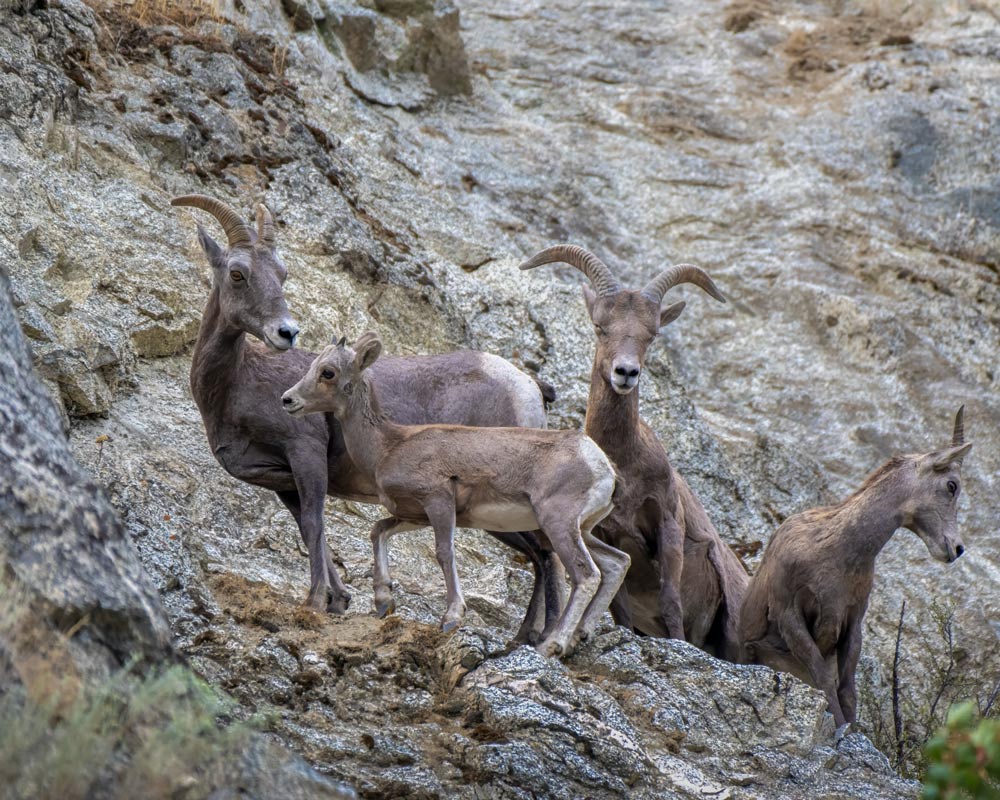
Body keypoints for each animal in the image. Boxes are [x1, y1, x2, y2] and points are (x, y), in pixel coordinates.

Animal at [172, 194, 564, 640]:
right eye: (238, 273)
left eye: (282, 274)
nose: (286, 332)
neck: (237, 383)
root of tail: (528, 386)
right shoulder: (283, 482)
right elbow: (309, 529)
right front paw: (340, 599)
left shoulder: (304, 453)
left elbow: (314, 524)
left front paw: (315, 601)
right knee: (541, 554)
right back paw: (527, 636)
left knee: (549, 553)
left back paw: (546, 637)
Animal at [281, 332, 632, 657]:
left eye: (327, 372)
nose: (287, 400)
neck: (388, 445)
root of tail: (603, 466)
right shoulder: (414, 514)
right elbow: (378, 530)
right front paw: (384, 602)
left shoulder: (438, 501)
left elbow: (444, 553)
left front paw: (451, 618)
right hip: (581, 530)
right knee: (616, 563)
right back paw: (577, 638)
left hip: (558, 524)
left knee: (586, 574)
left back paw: (551, 645)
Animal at [519, 245, 749, 661]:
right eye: (600, 326)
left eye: (652, 334)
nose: (625, 373)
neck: (625, 464)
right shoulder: (605, 534)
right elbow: (620, 608)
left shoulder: (668, 522)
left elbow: (671, 601)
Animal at [738, 407, 973, 727]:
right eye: (951, 485)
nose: (957, 549)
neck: (836, 550)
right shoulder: (789, 615)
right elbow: (824, 679)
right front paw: (840, 728)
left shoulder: (852, 621)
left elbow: (847, 689)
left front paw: (853, 729)